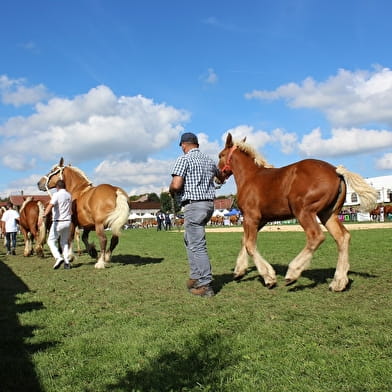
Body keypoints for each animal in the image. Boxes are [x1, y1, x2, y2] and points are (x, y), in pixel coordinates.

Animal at [219, 134, 378, 290]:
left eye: (221, 155)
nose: (217, 177)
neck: (251, 177)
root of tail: (336, 171)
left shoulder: (251, 216)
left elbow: (250, 245)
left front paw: (269, 277)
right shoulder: (261, 219)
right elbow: (244, 240)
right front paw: (239, 271)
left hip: (303, 211)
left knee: (316, 236)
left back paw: (293, 272)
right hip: (328, 214)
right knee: (343, 237)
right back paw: (338, 282)